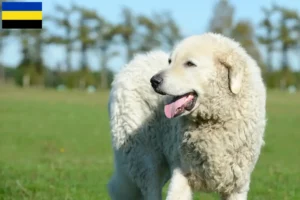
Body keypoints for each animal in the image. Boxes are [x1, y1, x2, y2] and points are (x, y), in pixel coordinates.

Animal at [106, 33, 266, 200]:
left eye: (190, 64)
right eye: (170, 61)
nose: (154, 81)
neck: (212, 120)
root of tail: (132, 63)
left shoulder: (237, 186)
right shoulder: (181, 173)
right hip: (145, 159)